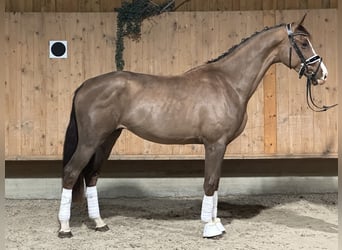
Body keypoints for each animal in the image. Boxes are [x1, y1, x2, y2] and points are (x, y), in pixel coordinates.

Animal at [58, 15, 328, 238]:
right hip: (90, 141)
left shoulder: (221, 146)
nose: (322, 74)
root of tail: (84, 86)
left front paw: (217, 223)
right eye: (303, 44)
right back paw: (65, 229)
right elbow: (209, 183)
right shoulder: (214, 144)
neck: (228, 82)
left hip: (107, 139)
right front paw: (210, 228)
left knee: (92, 176)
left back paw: (99, 223)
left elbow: (216, 183)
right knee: (71, 173)